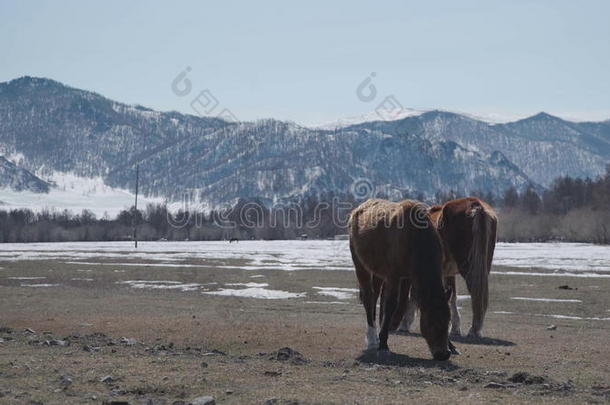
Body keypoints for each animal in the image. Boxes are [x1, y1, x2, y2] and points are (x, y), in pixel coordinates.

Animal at [346, 199, 452, 360]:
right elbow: (390, 305)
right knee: (368, 298)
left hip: (377, 273)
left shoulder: (407, 277)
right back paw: (372, 339)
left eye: (448, 322)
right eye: (431, 322)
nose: (443, 354)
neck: (415, 237)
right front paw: (383, 344)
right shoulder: (393, 276)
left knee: (374, 297)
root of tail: (357, 210)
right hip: (360, 266)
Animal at [396, 196, 496, 338]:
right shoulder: (448, 273)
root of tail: (477, 206)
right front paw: (454, 328)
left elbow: (414, 294)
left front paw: (404, 324)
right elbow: (452, 296)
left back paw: (474, 330)